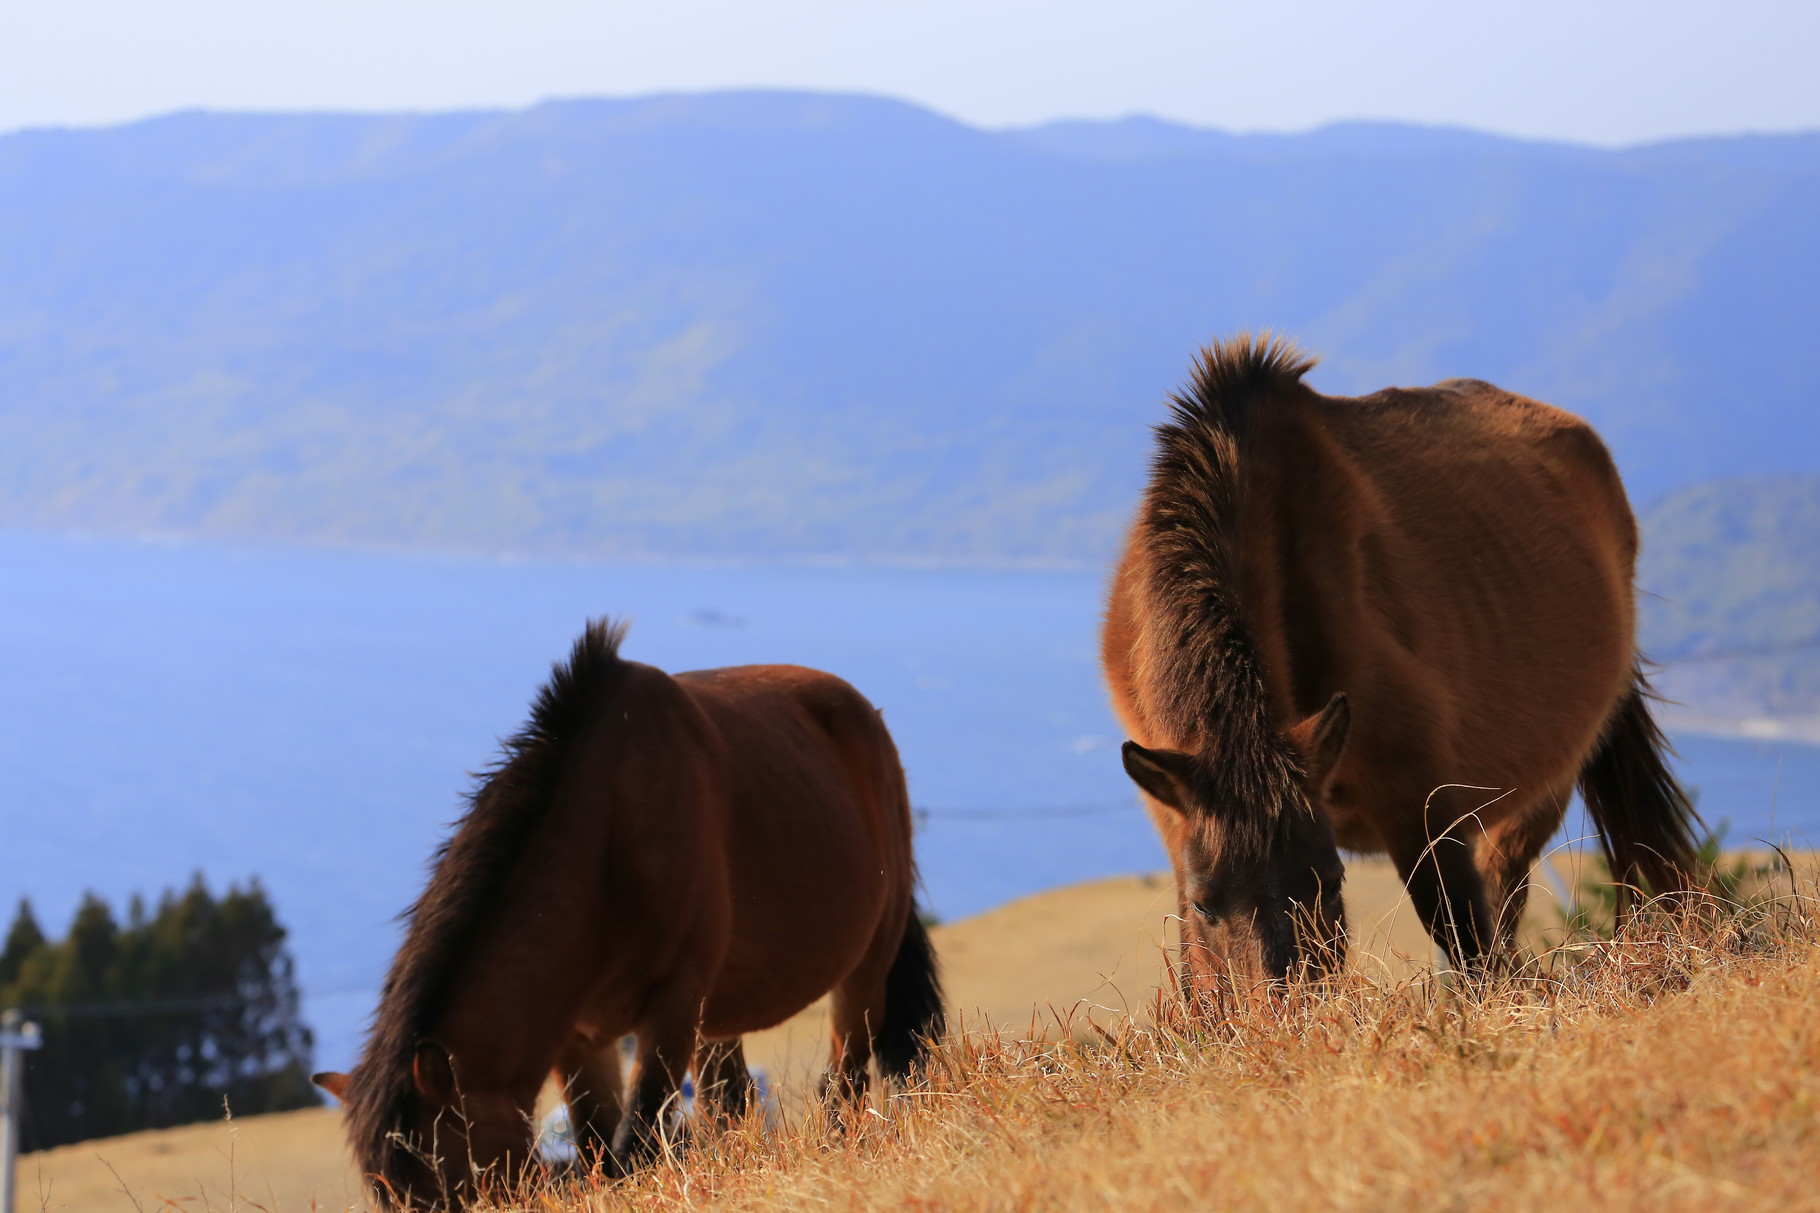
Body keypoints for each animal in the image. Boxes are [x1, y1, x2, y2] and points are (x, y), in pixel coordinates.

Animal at [312, 619, 945, 1210]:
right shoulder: (579, 1040)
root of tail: (866, 719)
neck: (609, 836)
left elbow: (631, 1147)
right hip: (719, 1019)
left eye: (459, 1187)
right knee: (730, 1103)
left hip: (865, 966)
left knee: (843, 1082)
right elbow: (597, 1143)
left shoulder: (673, 1007)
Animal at [1100, 334, 1701, 989]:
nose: (1293, 1006)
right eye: (1207, 903)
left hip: (1539, 793)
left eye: (1331, 882)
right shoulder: (1177, 825)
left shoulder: (1420, 800)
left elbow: (1464, 939)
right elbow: (1198, 977)